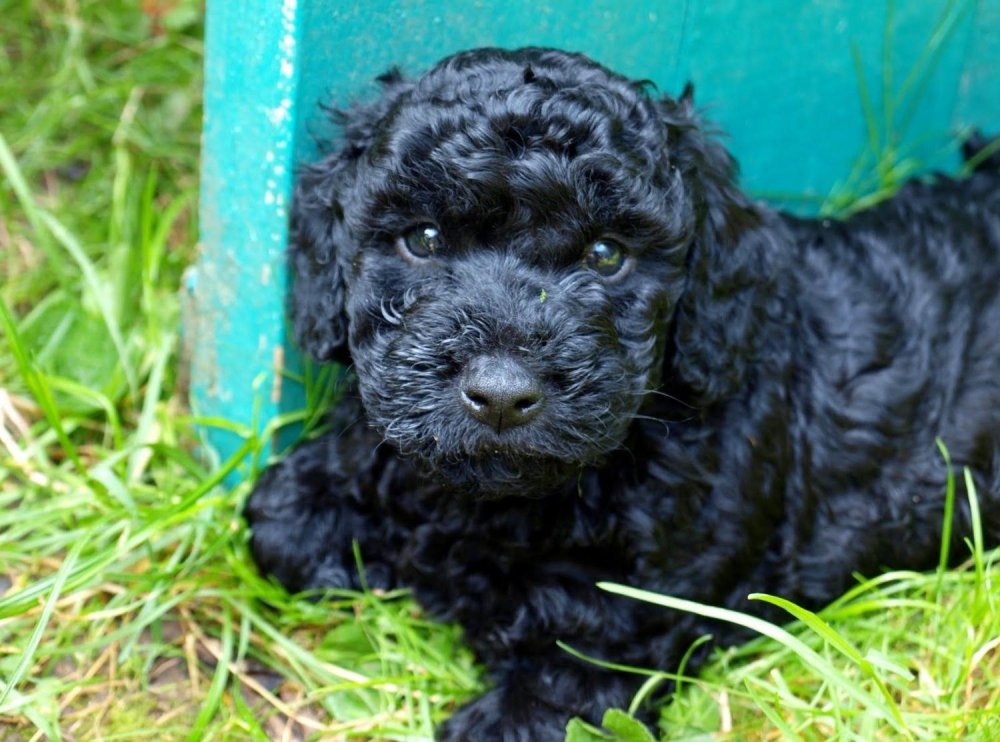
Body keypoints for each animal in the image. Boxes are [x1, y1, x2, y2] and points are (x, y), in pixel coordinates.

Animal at [248, 48, 1000, 742]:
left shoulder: (623, 614)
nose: (500, 394)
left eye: (607, 255)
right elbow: (276, 521)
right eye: (423, 238)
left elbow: (553, 694)